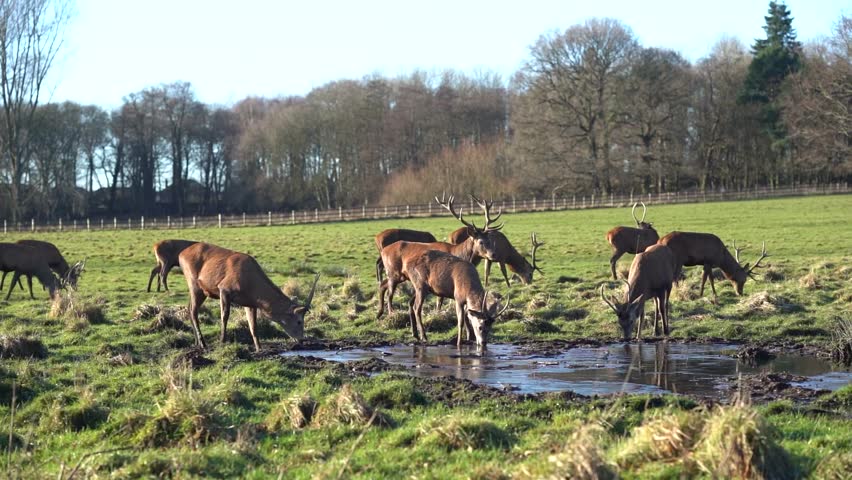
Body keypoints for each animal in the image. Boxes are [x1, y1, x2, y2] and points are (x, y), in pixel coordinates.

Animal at [178, 242, 319, 352]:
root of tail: (181, 254)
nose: (301, 340)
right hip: (194, 283)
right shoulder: (224, 289)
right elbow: (224, 316)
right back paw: (203, 343)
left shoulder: (250, 303)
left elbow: (253, 325)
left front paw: (259, 348)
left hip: (200, 291)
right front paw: (222, 341)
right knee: (193, 311)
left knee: (189, 307)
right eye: (299, 321)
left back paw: (196, 342)